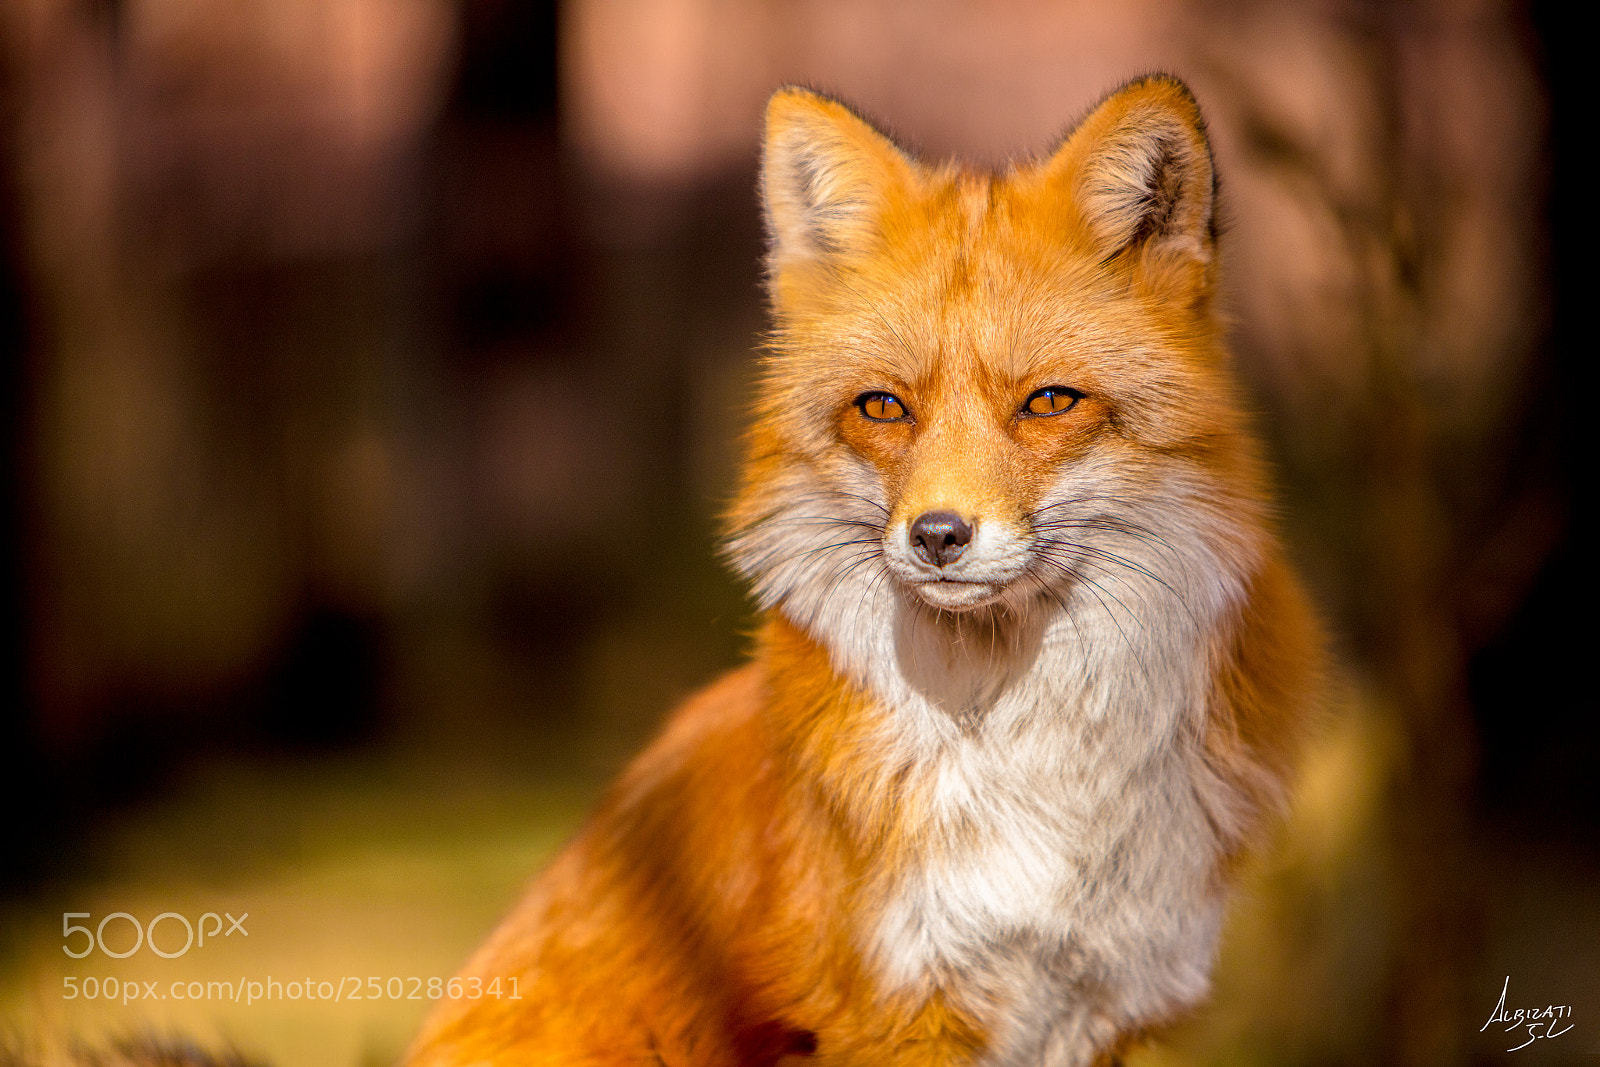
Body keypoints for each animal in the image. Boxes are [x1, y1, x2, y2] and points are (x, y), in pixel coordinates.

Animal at [402, 75, 1323, 1067]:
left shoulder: (1101, 1001)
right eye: (883, 407)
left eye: (1048, 402)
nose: (938, 534)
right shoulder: (894, 1009)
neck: (1014, 763)